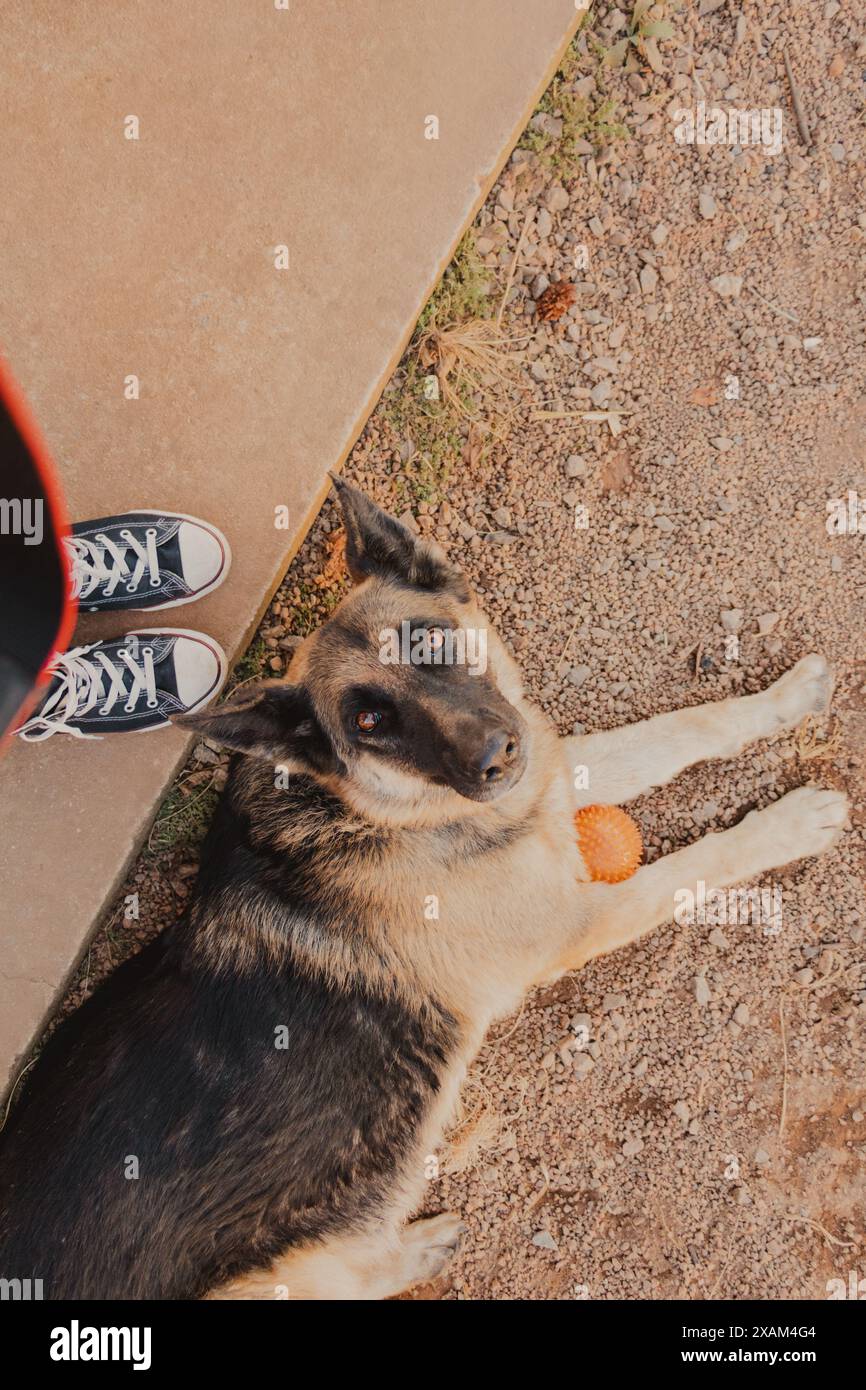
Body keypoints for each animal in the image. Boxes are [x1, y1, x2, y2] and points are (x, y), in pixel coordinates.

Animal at [0, 480, 850, 1301]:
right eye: (370, 722)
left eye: (430, 642)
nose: (495, 756)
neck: (369, 813)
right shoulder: (579, 917)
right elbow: (694, 866)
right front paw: (791, 822)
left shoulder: (545, 782)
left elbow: (680, 730)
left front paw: (780, 702)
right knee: (354, 1275)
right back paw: (419, 1246)